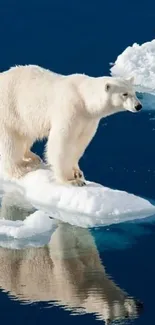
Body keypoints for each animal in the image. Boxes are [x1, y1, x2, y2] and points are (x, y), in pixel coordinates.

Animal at [0, 65, 142, 185]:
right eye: (124, 94)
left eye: (134, 92)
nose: (138, 106)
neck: (83, 98)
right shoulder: (70, 109)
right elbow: (62, 142)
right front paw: (71, 180)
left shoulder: (88, 120)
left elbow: (80, 143)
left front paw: (78, 172)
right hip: (9, 109)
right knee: (10, 142)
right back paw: (20, 169)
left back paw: (32, 157)